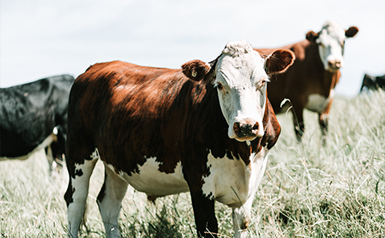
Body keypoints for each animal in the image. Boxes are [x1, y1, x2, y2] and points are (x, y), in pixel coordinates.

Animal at [63, 41, 294, 238]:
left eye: (263, 82)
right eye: (219, 85)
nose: (245, 125)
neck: (243, 153)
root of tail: (95, 67)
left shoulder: (250, 185)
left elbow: (242, 223)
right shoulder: (199, 185)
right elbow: (208, 228)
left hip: (117, 162)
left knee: (108, 205)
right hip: (78, 153)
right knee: (75, 202)